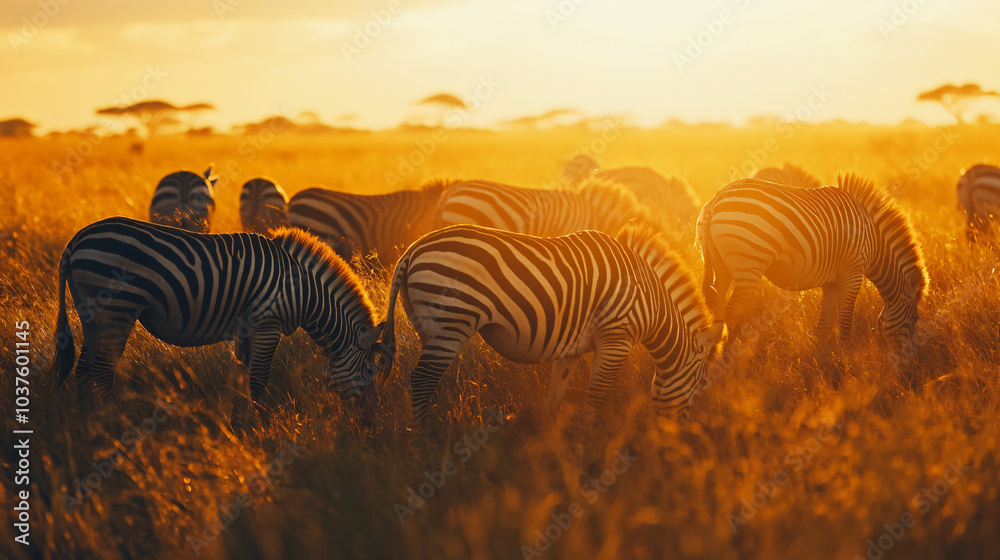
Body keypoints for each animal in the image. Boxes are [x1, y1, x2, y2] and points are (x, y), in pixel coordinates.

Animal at [50, 217, 388, 417]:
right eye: (370, 372)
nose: (371, 423)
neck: (302, 290)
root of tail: (75, 241)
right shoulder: (267, 325)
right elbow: (258, 380)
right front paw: (259, 428)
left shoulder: (247, 329)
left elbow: (242, 377)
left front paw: (240, 423)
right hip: (117, 312)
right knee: (101, 372)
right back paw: (112, 425)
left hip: (92, 315)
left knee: (83, 371)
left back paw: (89, 427)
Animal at [372, 224, 724, 425]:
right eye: (703, 384)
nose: (682, 433)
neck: (651, 302)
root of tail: (412, 250)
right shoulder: (616, 340)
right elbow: (595, 398)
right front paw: (588, 448)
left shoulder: (571, 350)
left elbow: (556, 397)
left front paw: (548, 443)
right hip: (450, 324)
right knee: (421, 382)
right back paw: (423, 439)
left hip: (428, 327)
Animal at [697, 173, 927, 345]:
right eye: (915, 318)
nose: (908, 360)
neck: (873, 239)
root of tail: (716, 199)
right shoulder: (853, 272)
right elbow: (845, 320)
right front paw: (847, 361)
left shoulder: (831, 281)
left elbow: (825, 323)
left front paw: (823, 357)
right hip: (749, 266)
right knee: (731, 312)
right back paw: (731, 359)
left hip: (722, 267)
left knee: (715, 308)